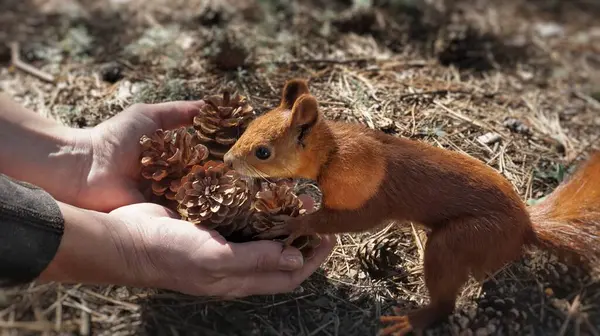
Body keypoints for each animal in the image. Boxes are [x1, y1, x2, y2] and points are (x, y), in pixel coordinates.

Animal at [224, 78, 600, 334]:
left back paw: (411, 320)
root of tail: (525, 225)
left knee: (446, 299)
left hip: (463, 239)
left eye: (263, 152)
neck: (332, 153)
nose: (227, 160)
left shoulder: (367, 195)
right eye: (249, 125)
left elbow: (352, 220)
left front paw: (295, 224)